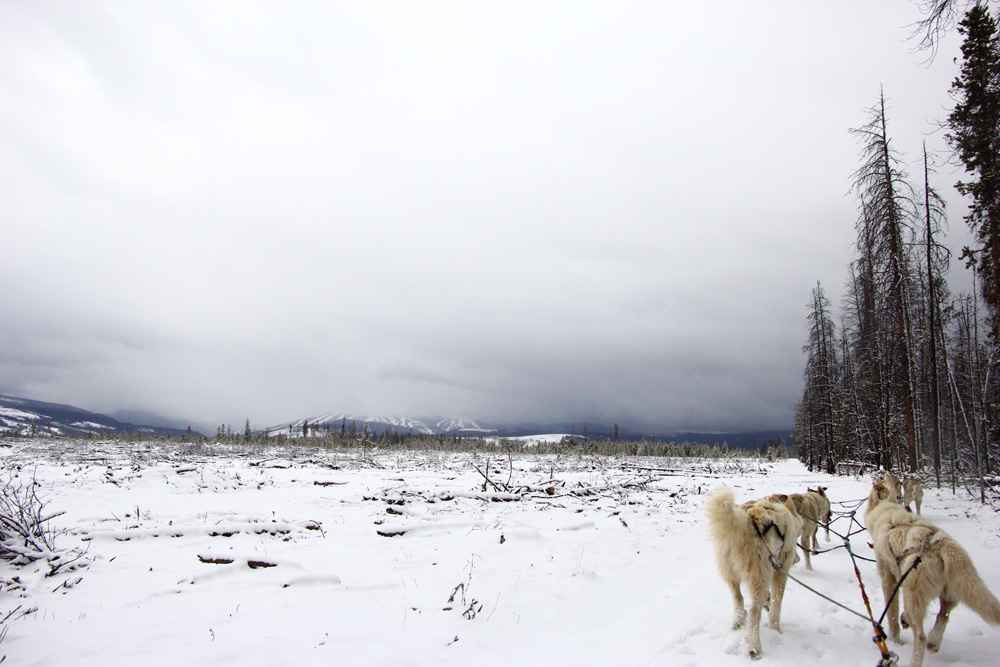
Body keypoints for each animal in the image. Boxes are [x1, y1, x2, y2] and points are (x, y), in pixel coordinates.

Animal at [704, 488, 804, 660]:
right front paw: (775, 628)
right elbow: (777, 602)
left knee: (738, 599)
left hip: (731, 573)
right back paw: (753, 647)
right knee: (753, 611)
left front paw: (768, 603)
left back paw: (738, 620)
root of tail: (744, 522)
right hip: (759, 574)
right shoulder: (780, 568)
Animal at [860, 482, 1000, 664]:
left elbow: (892, 615)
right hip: (949, 594)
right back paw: (934, 641)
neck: (887, 514)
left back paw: (914, 660)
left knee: (920, 636)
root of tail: (942, 545)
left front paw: (895, 640)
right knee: (943, 616)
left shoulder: (889, 580)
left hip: (913, 596)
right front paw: (903, 620)